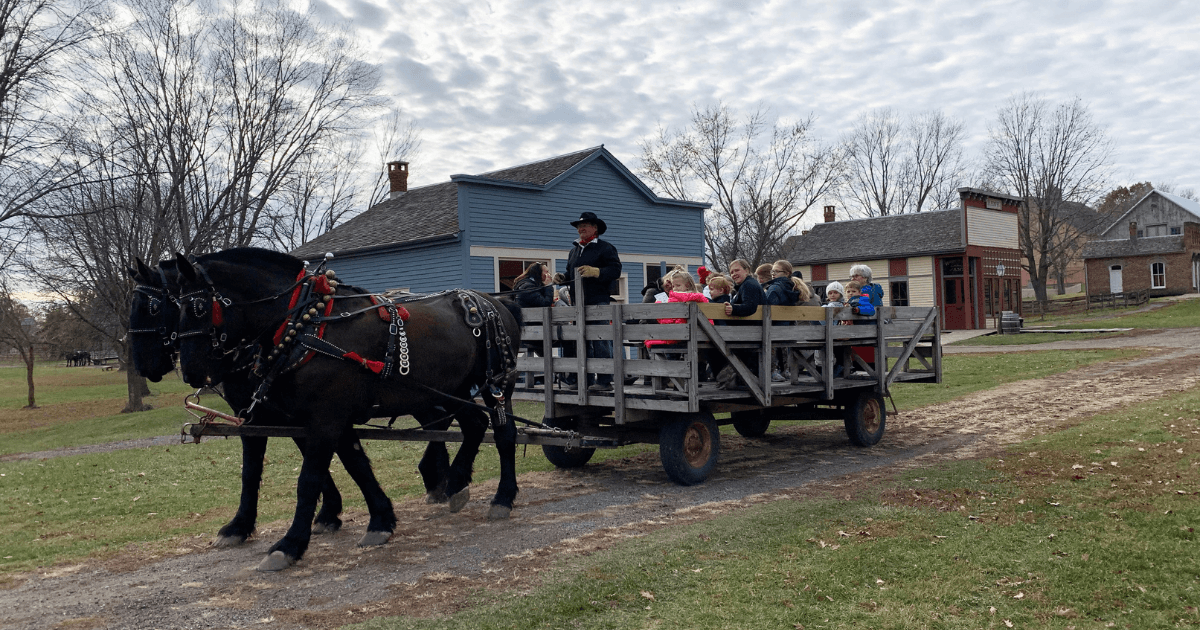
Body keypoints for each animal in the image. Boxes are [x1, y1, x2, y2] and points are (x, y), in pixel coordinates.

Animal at [172, 247, 520, 568]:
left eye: (199, 307)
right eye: (176, 306)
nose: (190, 371)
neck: (306, 326)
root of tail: (496, 302)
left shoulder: (325, 418)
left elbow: (309, 479)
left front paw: (289, 544)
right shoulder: (325, 418)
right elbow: (357, 466)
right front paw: (380, 521)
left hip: (496, 385)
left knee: (505, 434)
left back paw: (502, 497)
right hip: (452, 390)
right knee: (475, 424)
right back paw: (456, 484)